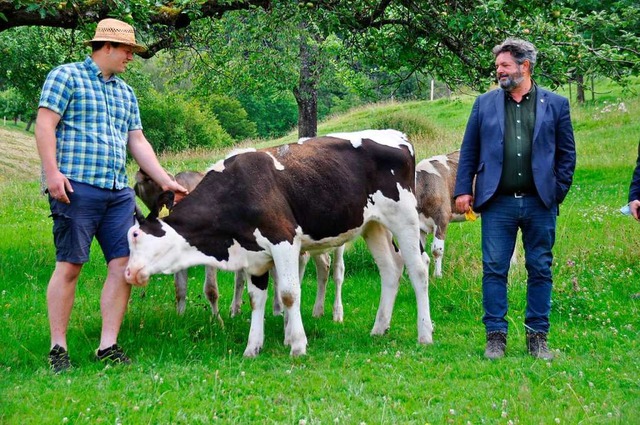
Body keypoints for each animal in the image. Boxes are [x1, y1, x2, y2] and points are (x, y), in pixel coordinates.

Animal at [124, 128, 432, 354]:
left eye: (136, 236)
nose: (128, 272)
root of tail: (398, 135)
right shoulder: (254, 255)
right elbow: (255, 298)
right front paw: (253, 346)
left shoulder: (283, 240)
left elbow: (288, 293)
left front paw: (297, 344)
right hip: (373, 226)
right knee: (390, 270)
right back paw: (379, 328)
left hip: (404, 219)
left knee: (418, 270)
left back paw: (425, 333)